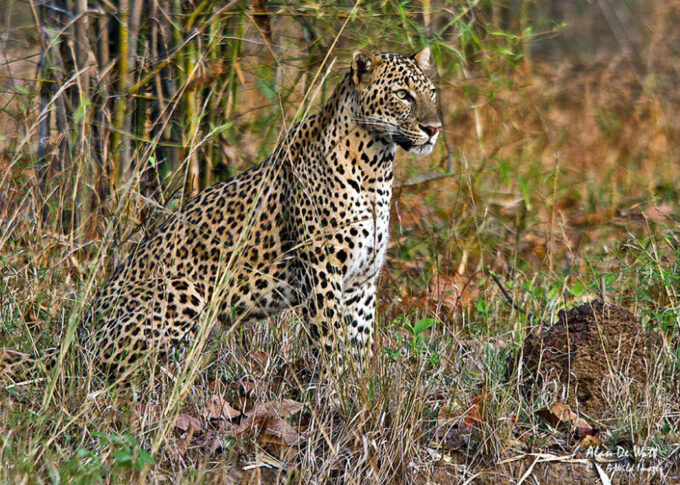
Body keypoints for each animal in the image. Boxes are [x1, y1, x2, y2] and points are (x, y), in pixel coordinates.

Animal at [1, 48, 441, 384]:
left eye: (431, 92)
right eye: (403, 95)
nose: (434, 128)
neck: (376, 168)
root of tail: (77, 337)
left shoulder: (361, 283)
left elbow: (359, 347)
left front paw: (360, 398)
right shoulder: (322, 275)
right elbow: (332, 347)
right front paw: (336, 403)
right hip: (183, 292)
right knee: (116, 374)